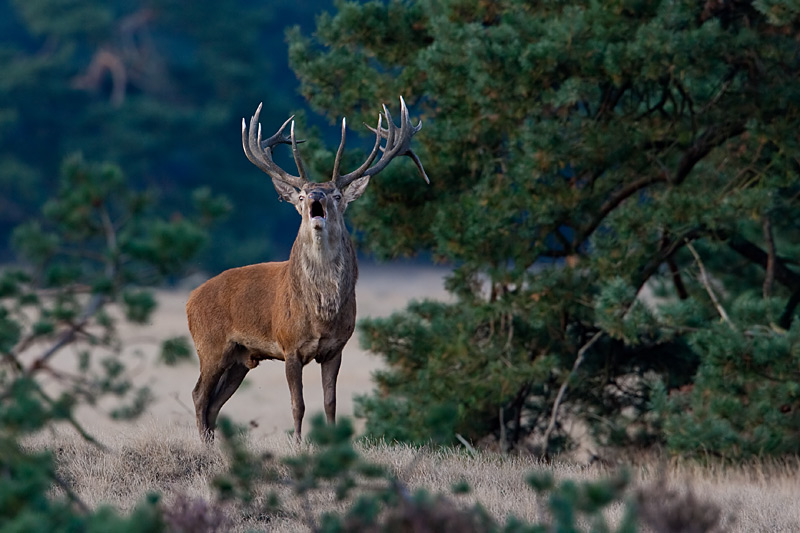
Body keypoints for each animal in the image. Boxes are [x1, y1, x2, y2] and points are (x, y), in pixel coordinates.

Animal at [187, 95, 428, 440]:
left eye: (337, 194)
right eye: (300, 195)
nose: (316, 195)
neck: (321, 314)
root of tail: (189, 300)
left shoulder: (336, 348)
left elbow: (330, 403)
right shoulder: (289, 346)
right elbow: (297, 405)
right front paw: (299, 443)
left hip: (241, 358)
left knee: (214, 404)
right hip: (210, 345)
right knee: (199, 395)